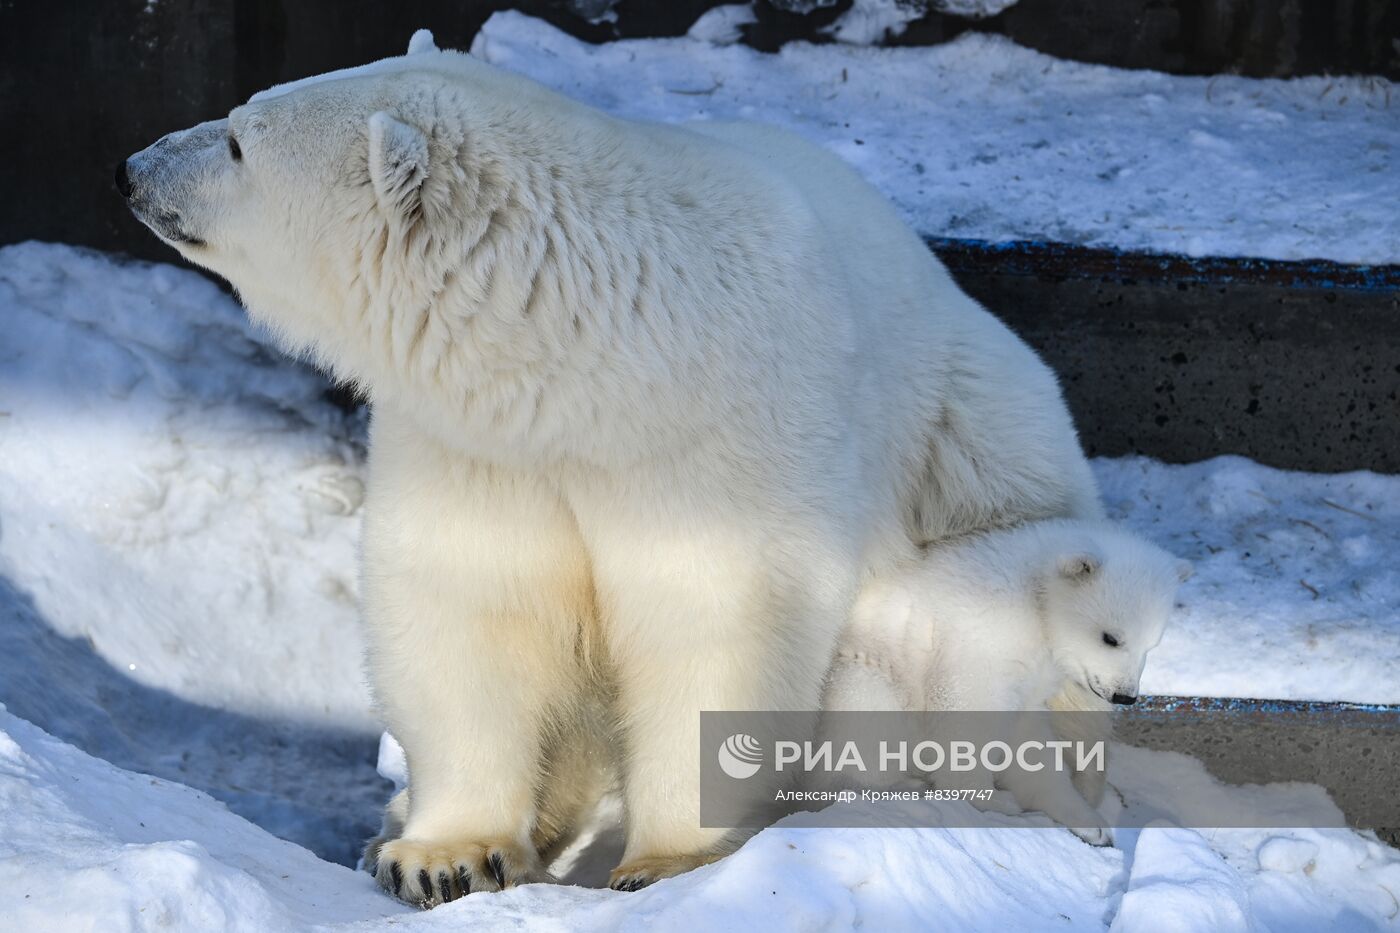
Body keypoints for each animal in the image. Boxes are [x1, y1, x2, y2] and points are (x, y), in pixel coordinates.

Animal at [120, 30, 1097, 902]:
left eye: (240, 137)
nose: (134, 165)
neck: (600, 365)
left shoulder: (721, 437)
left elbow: (717, 624)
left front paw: (667, 861)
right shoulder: (481, 444)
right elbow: (468, 606)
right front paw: (443, 855)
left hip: (975, 442)